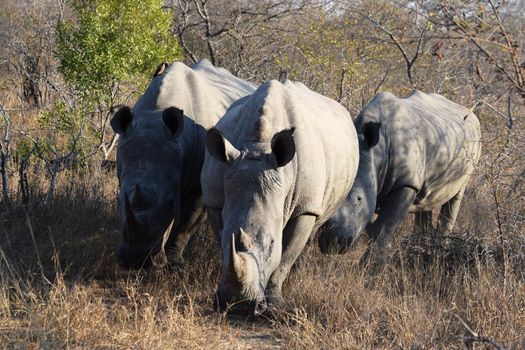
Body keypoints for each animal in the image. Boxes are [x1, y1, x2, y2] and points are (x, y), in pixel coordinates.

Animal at [111, 60, 256, 268]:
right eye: (117, 199)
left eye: (171, 204)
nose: (136, 262)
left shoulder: (198, 184)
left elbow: (186, 222)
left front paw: (174, 264)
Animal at [202, 80, 360, 314]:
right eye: (223, 238)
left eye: (271, 243)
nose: (238, 305)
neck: (258, 145)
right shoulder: (215, 200)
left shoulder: (305, 206)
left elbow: (285, 257)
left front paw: (274, 306)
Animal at [318, 90, 482, 260]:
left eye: (359, 199)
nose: (332, 243)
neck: (376, 153)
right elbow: (375, 226)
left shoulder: (407, 182)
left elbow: (384, 227)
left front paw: (373, 264)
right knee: (427, 198)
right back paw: (422, 247)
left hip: (474, 143)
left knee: (456, 196)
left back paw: (438, 249)